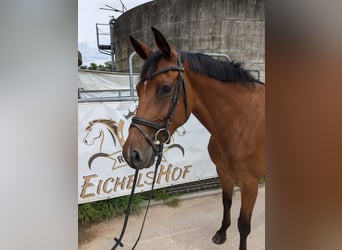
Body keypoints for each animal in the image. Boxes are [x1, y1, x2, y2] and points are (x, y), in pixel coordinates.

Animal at [123, 27, 264, 250]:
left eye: (165, 88)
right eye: (138, 90)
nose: (132, 153)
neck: (241, 122)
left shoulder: (250, 184)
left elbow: (244, 225)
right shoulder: (223, 173)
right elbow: (226, 202)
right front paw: (221, 233)